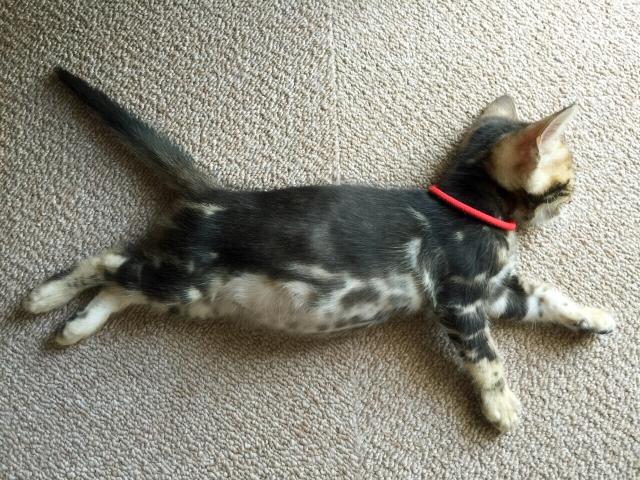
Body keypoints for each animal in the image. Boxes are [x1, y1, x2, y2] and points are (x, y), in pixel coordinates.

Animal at [23, 67, 615, 431]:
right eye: (566, 183)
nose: (575, 197)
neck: (468, 206)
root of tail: (216, 196)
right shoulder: (461, 297)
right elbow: (486, 354)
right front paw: (500, 404)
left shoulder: (495, 291)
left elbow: (548, 297)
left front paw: (594, 315)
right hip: (187, 277)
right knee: (108, 263)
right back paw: (43, 298)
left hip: (187, 294)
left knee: (121, 286)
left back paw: (77, 325)